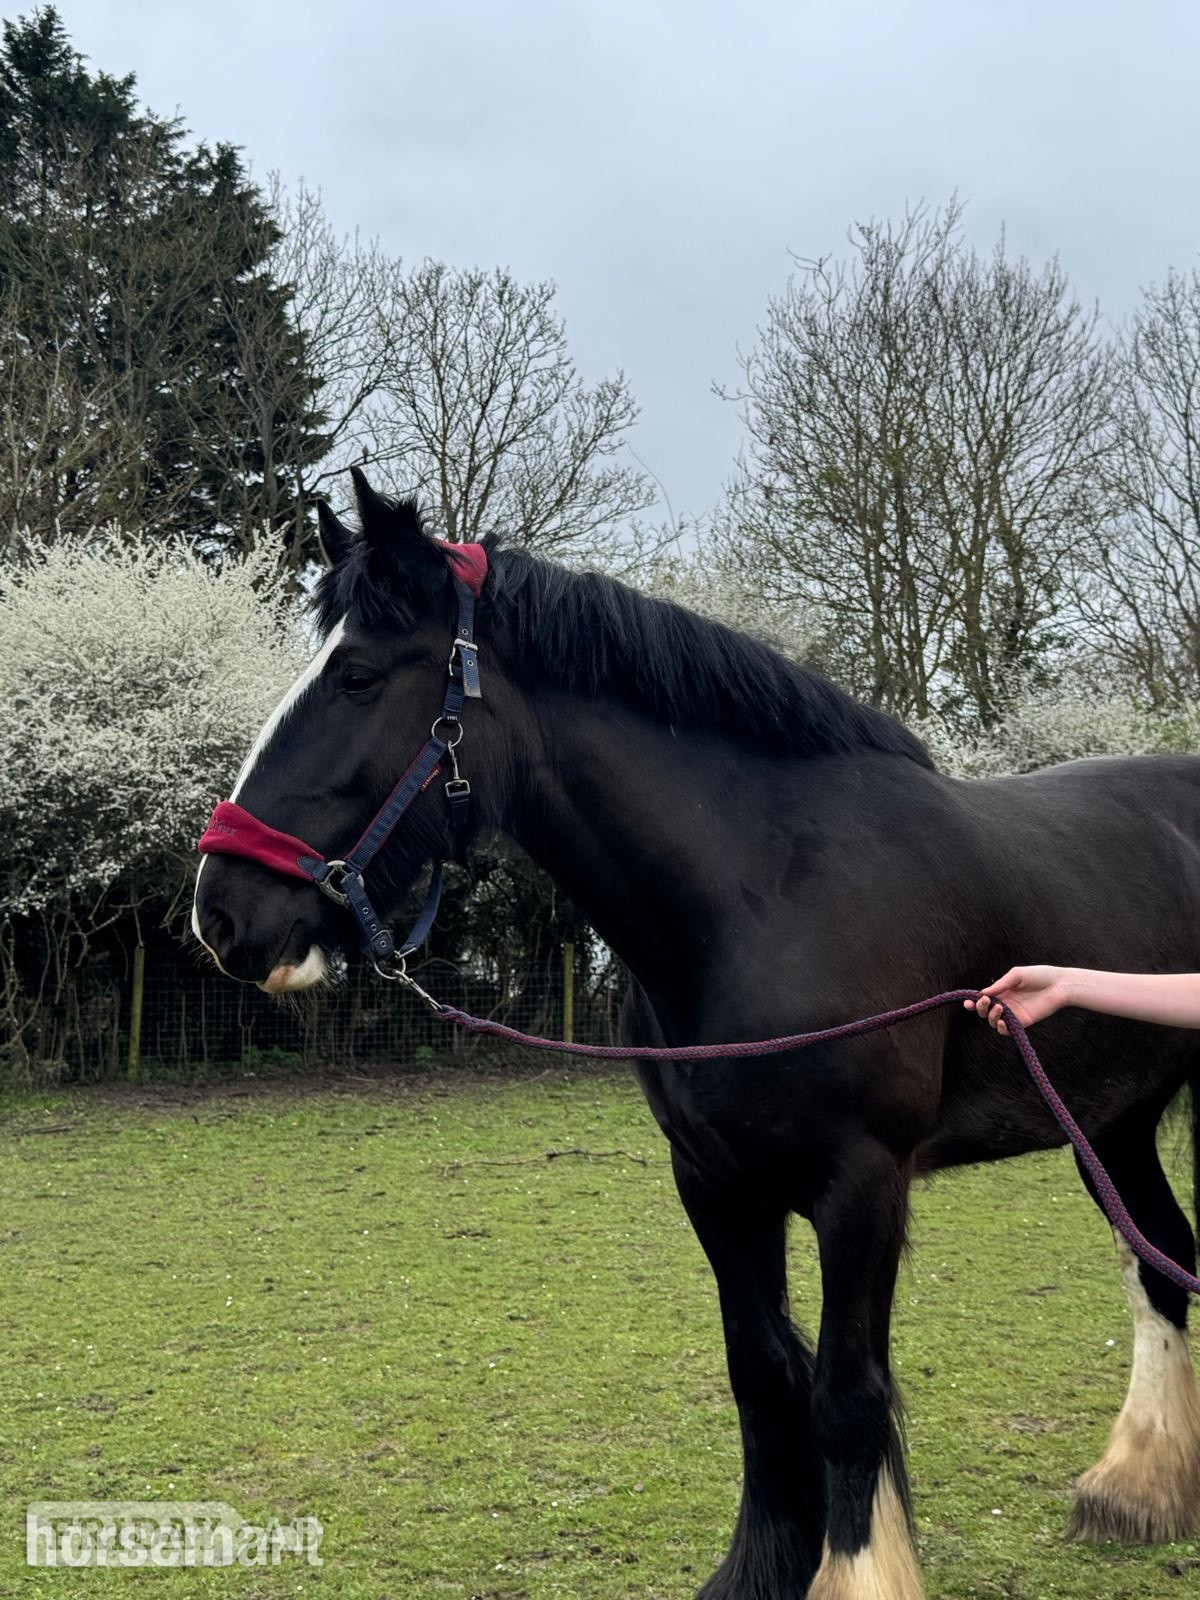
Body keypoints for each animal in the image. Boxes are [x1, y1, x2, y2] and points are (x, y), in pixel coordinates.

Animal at [192, 469, 1200, 1600]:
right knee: (1163, 1258)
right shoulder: (715, 1181)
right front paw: (762, 1567)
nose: (221, 911)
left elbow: (846, 1396)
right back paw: (1137, 1485)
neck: (766, 890)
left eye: (358, 677)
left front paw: (856, 1572)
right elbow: (762, 1379)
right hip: (1113, 1119)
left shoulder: (862, 1186)